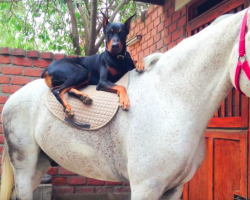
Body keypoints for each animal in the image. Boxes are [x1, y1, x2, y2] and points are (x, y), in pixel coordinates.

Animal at [0, 8, 250, 200]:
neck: (172, 99)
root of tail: (13, 99)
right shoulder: (145, 187)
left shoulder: (174, 189)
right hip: (24, 164)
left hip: (40, 164)